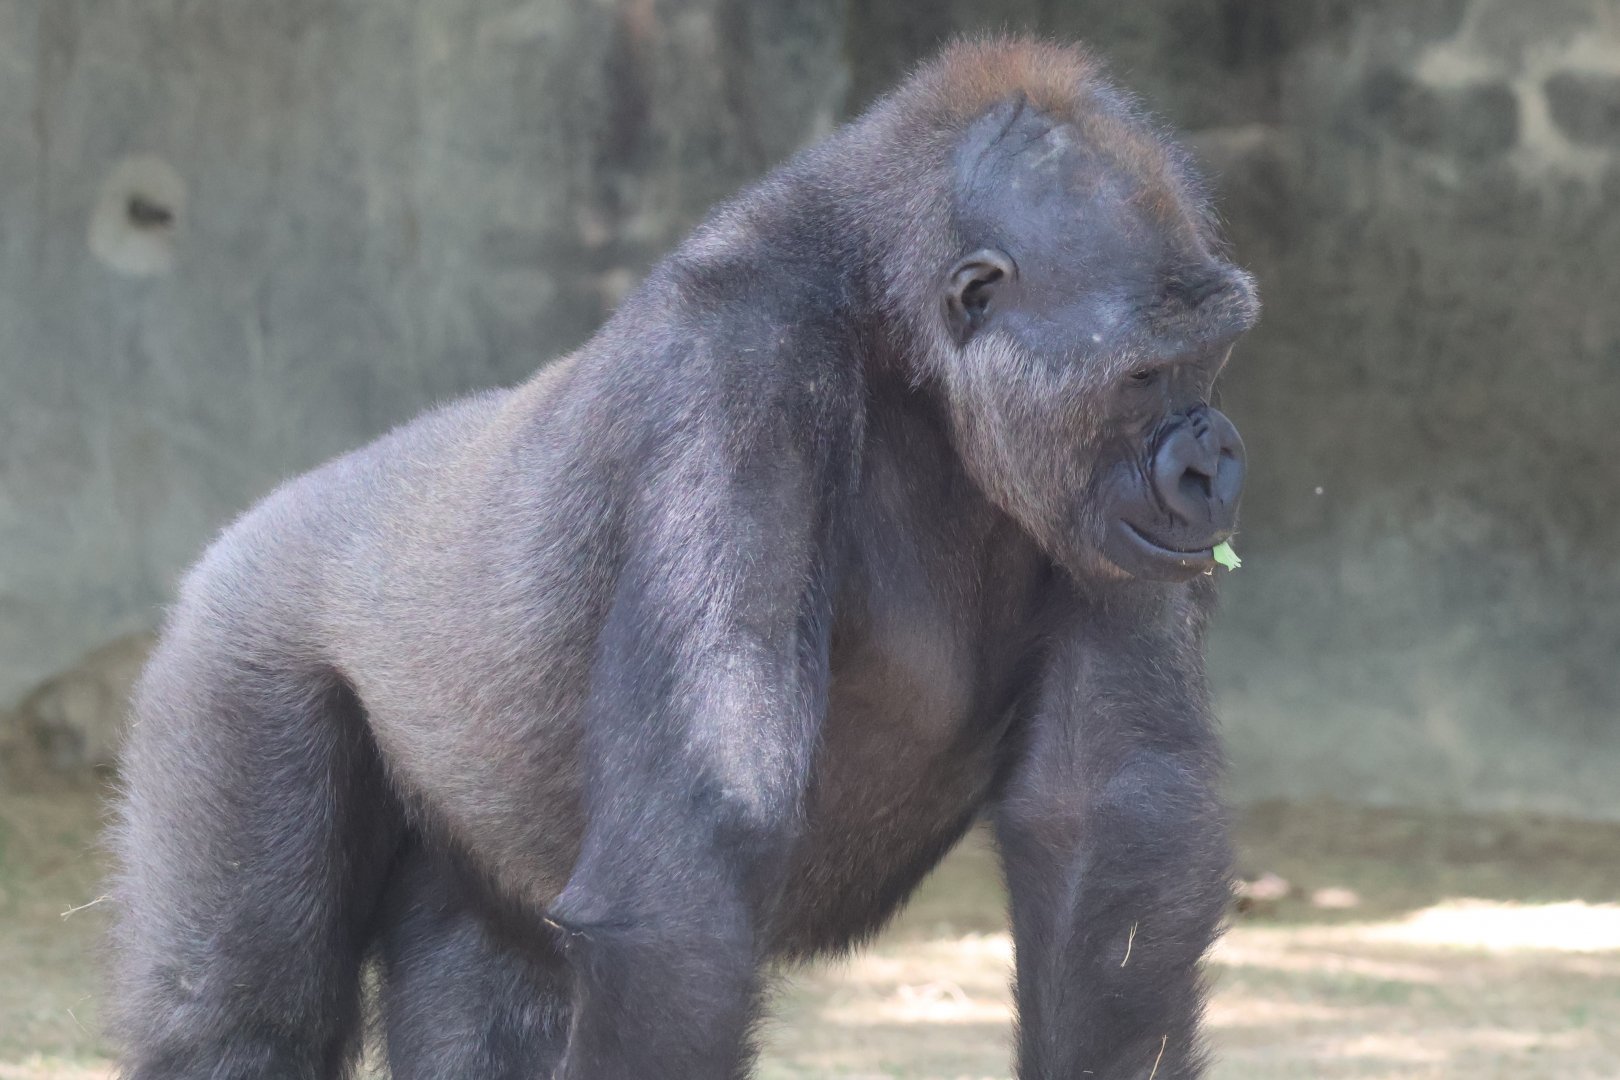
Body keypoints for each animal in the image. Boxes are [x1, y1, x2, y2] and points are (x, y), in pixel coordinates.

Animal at [108, 36, 1257, 1080]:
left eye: (1210, 356)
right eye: (1147, 375)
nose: (1211, 464)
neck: (900, 331)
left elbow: (1111, 819)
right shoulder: (739, 370)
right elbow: (691, 870)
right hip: (232, 648)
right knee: (241, 1017)